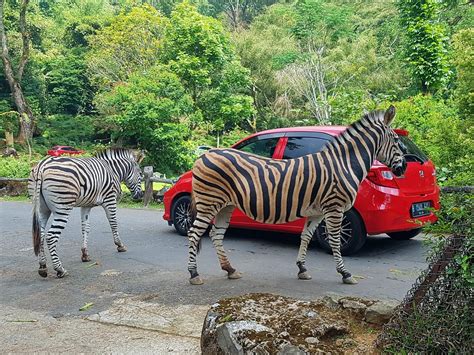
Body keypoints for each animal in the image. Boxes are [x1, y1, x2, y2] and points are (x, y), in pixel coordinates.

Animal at [28, 147, 143, 278]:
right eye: (140, 174)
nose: (140, 196)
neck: (113, 170)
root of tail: (42, 166)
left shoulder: (86, 206)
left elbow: (85, 228)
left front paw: (85, 254)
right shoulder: (110, 199)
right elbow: (113, 223)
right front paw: (120, 245)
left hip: (42, 208)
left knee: (41, 234)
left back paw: (43, 266)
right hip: (63, 207)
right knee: (51, 236)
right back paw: (60, 269)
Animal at [189, 106, 408, 286]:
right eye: (397, 141)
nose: (405, 167)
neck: (343, 164)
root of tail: (204, 155)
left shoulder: (318, 211)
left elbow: (306, 236)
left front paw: (302, 268)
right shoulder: (335, 207)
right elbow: (335, 240)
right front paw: (345, 273)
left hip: (226, 205)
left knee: (215, 234)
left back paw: (230, 270)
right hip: (209, 202)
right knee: (194, 233)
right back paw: (194, 274)